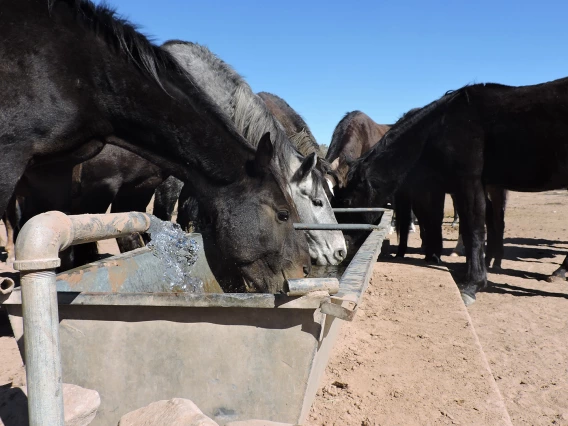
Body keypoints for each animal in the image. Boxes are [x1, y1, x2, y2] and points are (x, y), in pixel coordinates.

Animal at [338, 80, 568, 304]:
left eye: (347, 202)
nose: (344, 246)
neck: (440, 127)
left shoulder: (465, 183)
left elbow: (472, 230)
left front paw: (472, 284)